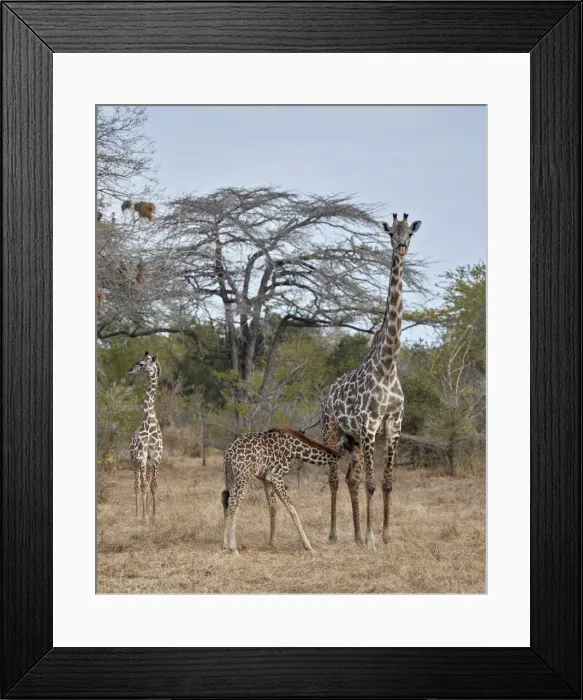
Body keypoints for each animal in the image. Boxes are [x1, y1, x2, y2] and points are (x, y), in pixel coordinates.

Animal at [221, 426, 358, 555]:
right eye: (353, 441)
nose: (356, 457)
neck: (294, 449)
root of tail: (229, 453)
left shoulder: (266, 478)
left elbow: (273, 507)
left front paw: (272, 542)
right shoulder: (275, 476)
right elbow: (292, 507)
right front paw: (308, 546)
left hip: (230, 475)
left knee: (225, 499)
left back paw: (224, 544)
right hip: (244, 476)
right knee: (234, 503)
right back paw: (233, 548)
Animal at [320, 213, 422, 549]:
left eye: (410, 234)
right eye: (391, 233)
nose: (401, 247)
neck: (388, 364)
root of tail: (326, 393)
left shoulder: (393, 425)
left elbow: (387, 482)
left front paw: (385, 535)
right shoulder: (368, 426)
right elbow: (371, 483)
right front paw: (371, 538)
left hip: (350, 438)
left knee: (350, 477)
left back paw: (353, 534)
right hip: (332, 430)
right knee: (334, 478)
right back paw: (335, 534)